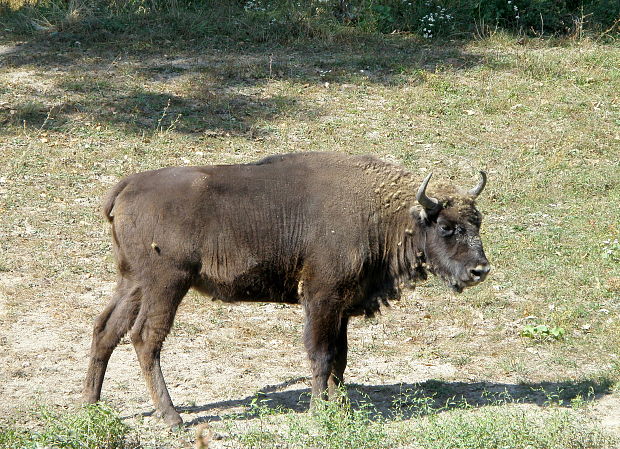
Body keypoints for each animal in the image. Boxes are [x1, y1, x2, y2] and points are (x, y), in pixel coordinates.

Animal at [82, 150, 490, 424]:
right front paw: (317, 411)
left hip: (133, 282)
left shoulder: (341, 306)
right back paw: (173, 419)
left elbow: (340, 357)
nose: (480, 269)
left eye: (478, 221)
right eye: (446, 226)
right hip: (166, 284)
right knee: (145, 338)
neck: (384, 212)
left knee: (106, 330)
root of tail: (126, 187)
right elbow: (321, 354)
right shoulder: (321, 298)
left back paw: (90, 403)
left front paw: (341, 408)